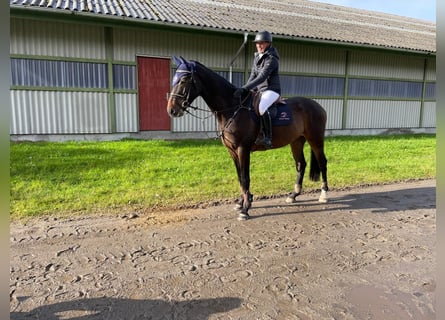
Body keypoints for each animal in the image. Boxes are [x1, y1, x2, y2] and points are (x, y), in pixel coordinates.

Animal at [166, 56, 326, 220]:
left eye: (184, 80)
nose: (171, 110)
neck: (233, 108)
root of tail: (317, 105)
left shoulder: (243, 149)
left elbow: (245, 177)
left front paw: (245, 209)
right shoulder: (232, 151)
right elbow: (239, 177)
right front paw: (241, 202)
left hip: (315, 140)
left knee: (322, 162)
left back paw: (323, 194)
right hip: (296, 141)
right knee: (301, 164)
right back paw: (294, 195)